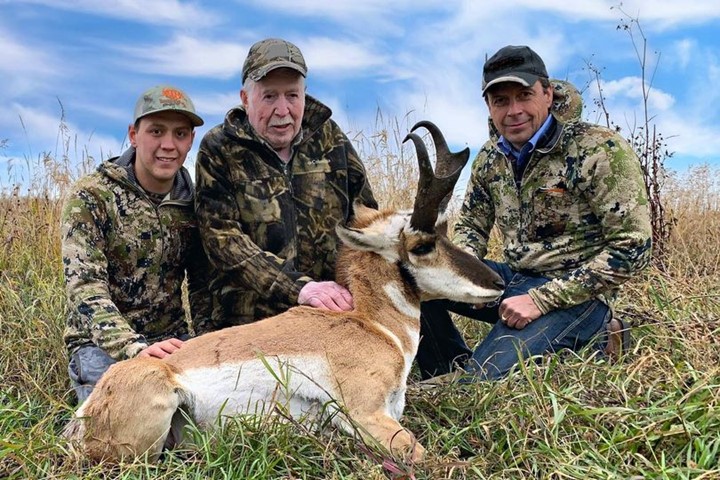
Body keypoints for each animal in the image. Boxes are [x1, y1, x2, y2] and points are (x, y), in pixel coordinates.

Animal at [66, 122, 506, 464]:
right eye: (422, 245)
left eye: (446, 231)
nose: (499, 284)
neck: (371, 324)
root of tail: (85, 412)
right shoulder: (366, 415)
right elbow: (433, 459)